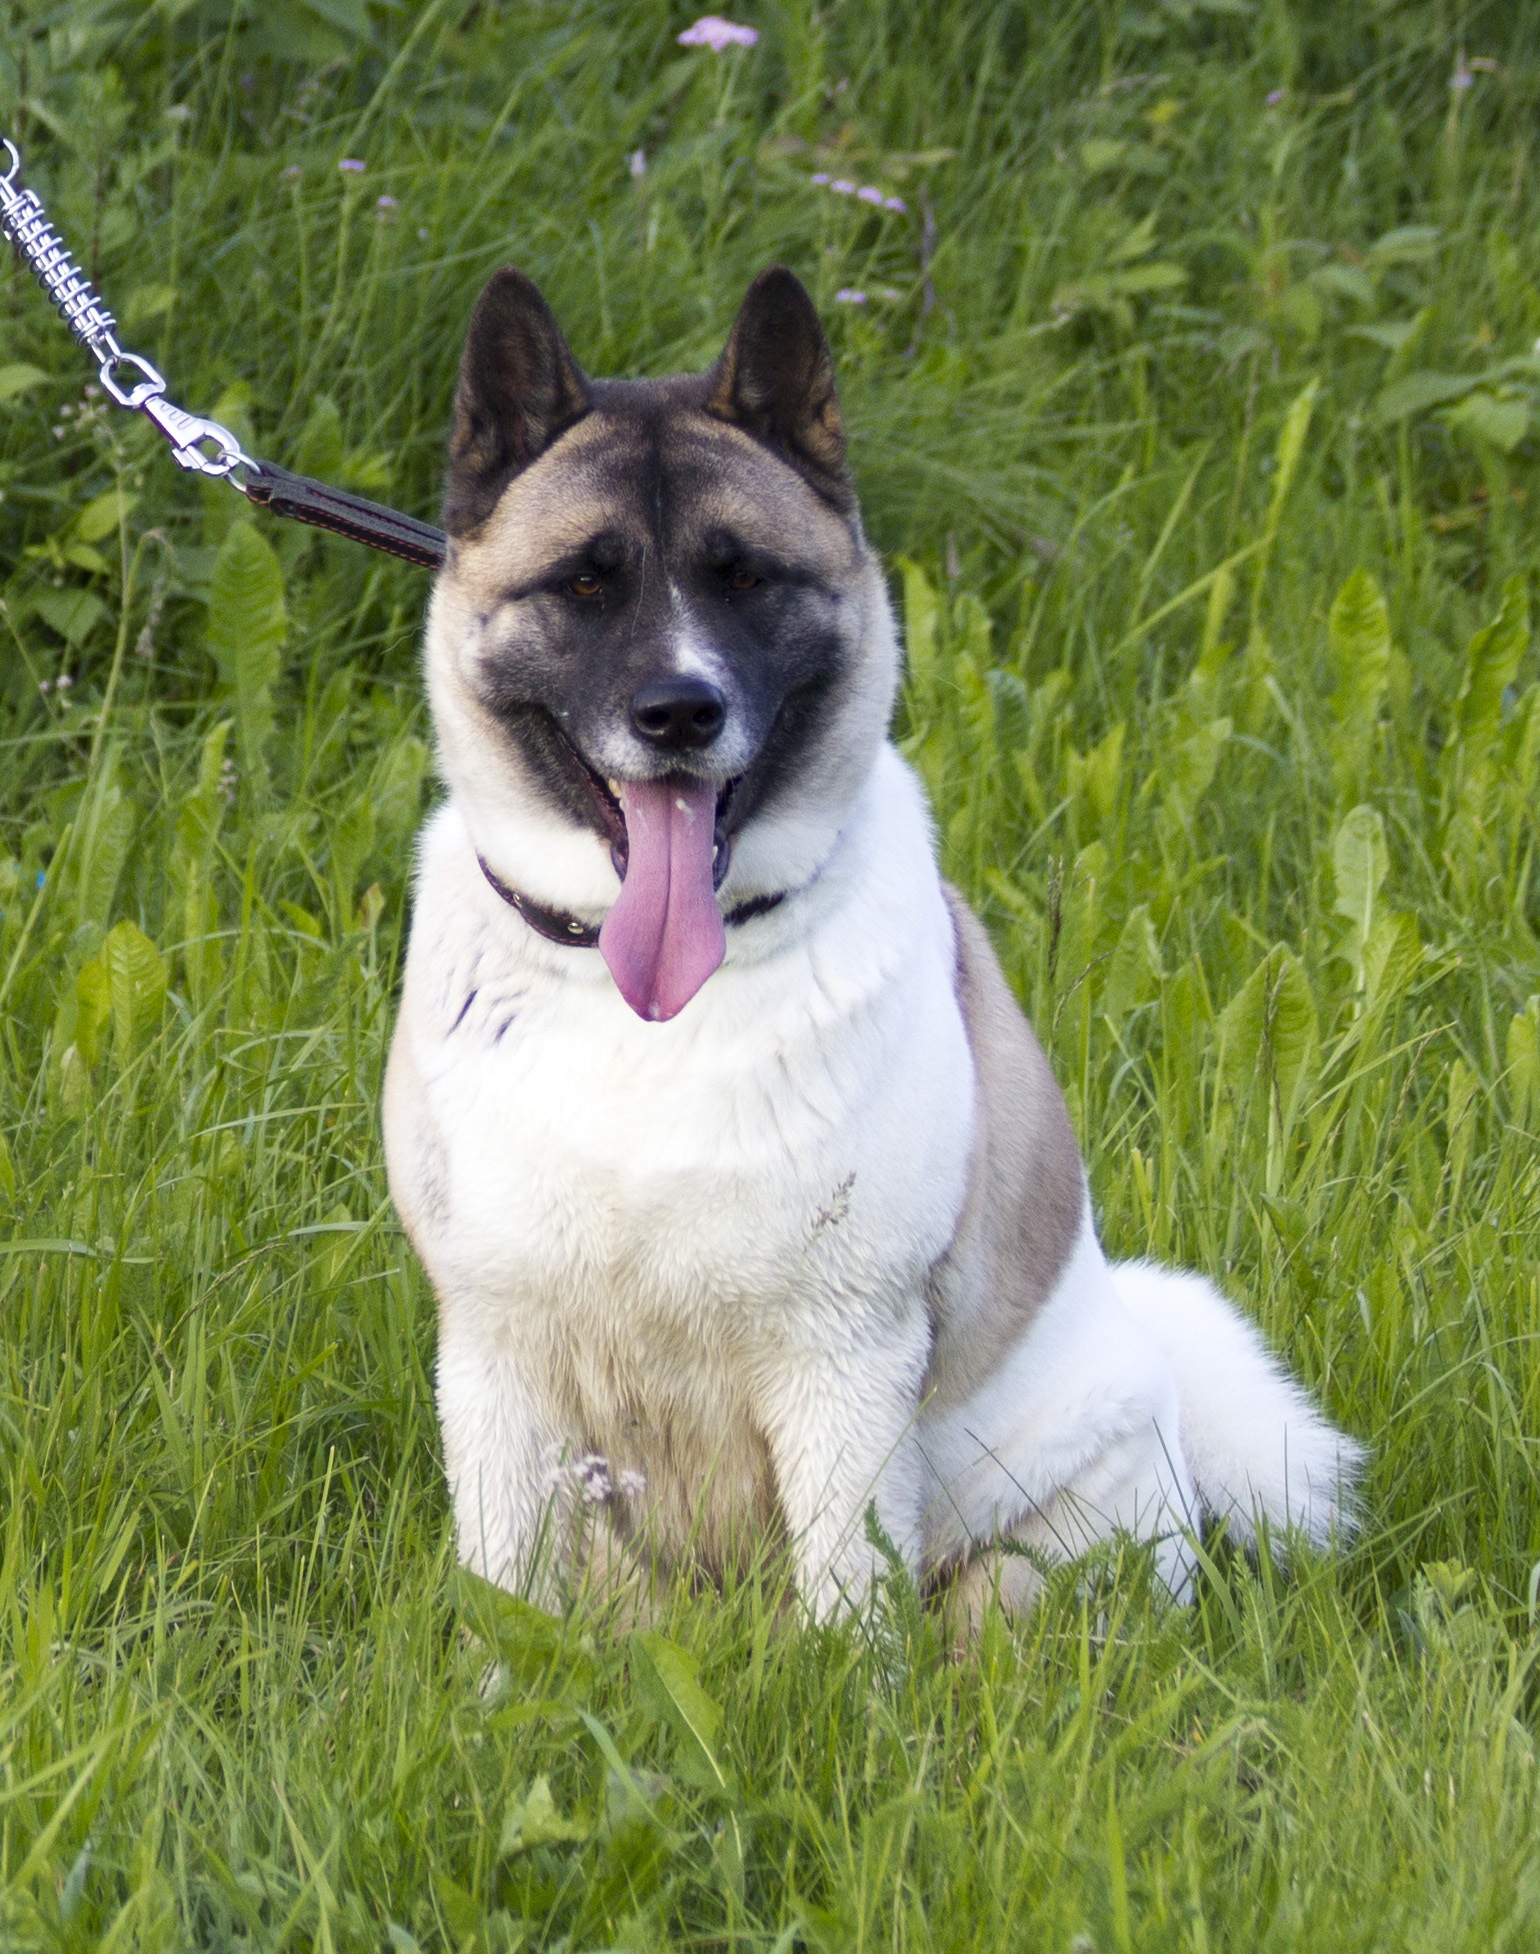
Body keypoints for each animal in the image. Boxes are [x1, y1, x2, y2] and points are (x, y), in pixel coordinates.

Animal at [383, 264, 1362, 1620]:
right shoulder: (496, 1349)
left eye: (745, 578)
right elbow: (508, 1600)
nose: (678, 713)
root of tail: (1144, 1347)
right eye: (584, 582)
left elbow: (847, 1595)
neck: (647, 1007)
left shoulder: (844, 1357)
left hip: (1045, 1546)